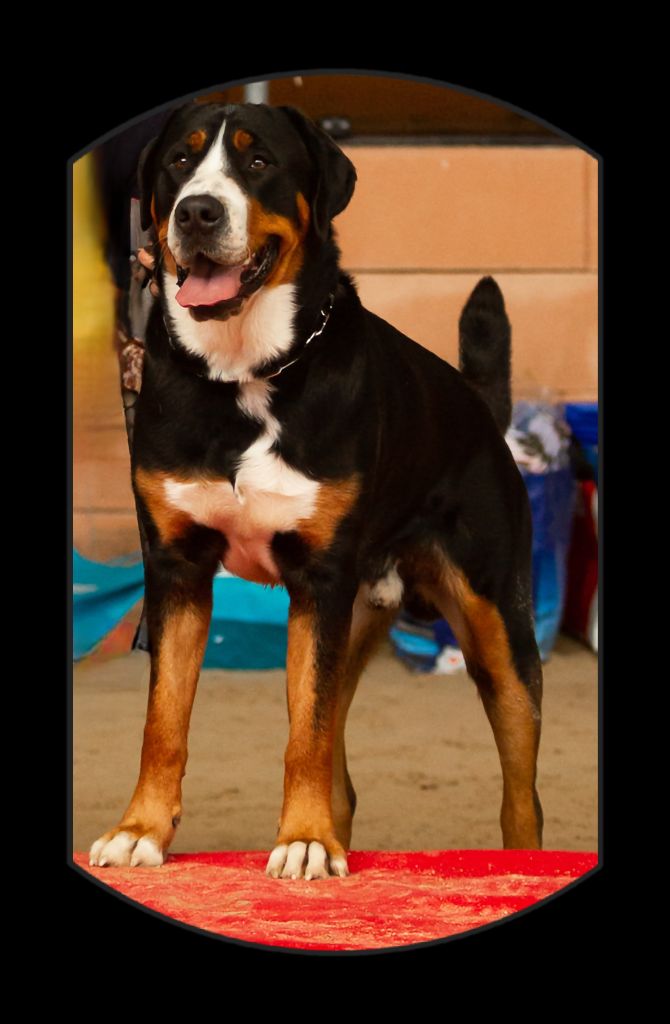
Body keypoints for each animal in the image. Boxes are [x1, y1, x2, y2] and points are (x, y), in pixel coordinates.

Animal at [89, 102, 543, 879]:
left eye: (258, 161)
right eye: (179, 162)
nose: (197, 212)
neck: (244, 373)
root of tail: (476, 405)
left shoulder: (320, 583)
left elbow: (306, 734)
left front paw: (302, 841)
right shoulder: (177, 571)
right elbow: (164, 722)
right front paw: (140, 829)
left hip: (497, 630)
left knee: (521, 796)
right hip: (355, 621)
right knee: (340, 771)